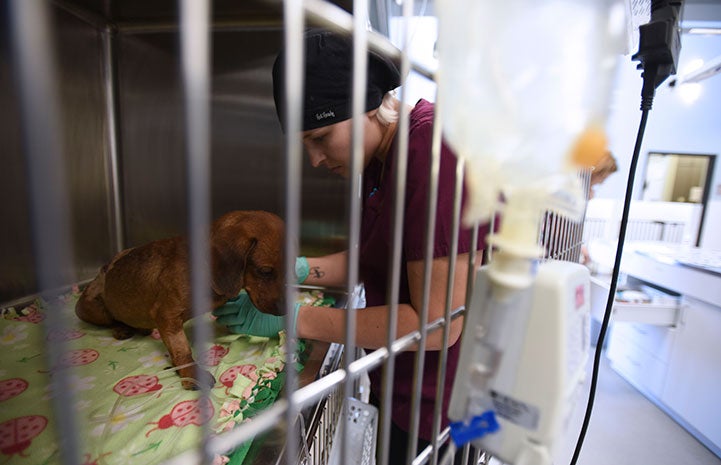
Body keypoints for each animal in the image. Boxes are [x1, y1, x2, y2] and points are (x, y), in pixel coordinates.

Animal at [75, 210, 284, 388]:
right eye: (265, 271)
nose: (284, 310)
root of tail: (102, 271)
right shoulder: (167, 315)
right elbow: (182, 349)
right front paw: (191, 373)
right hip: (93, 309)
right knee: (111, 319)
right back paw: (121, 328)